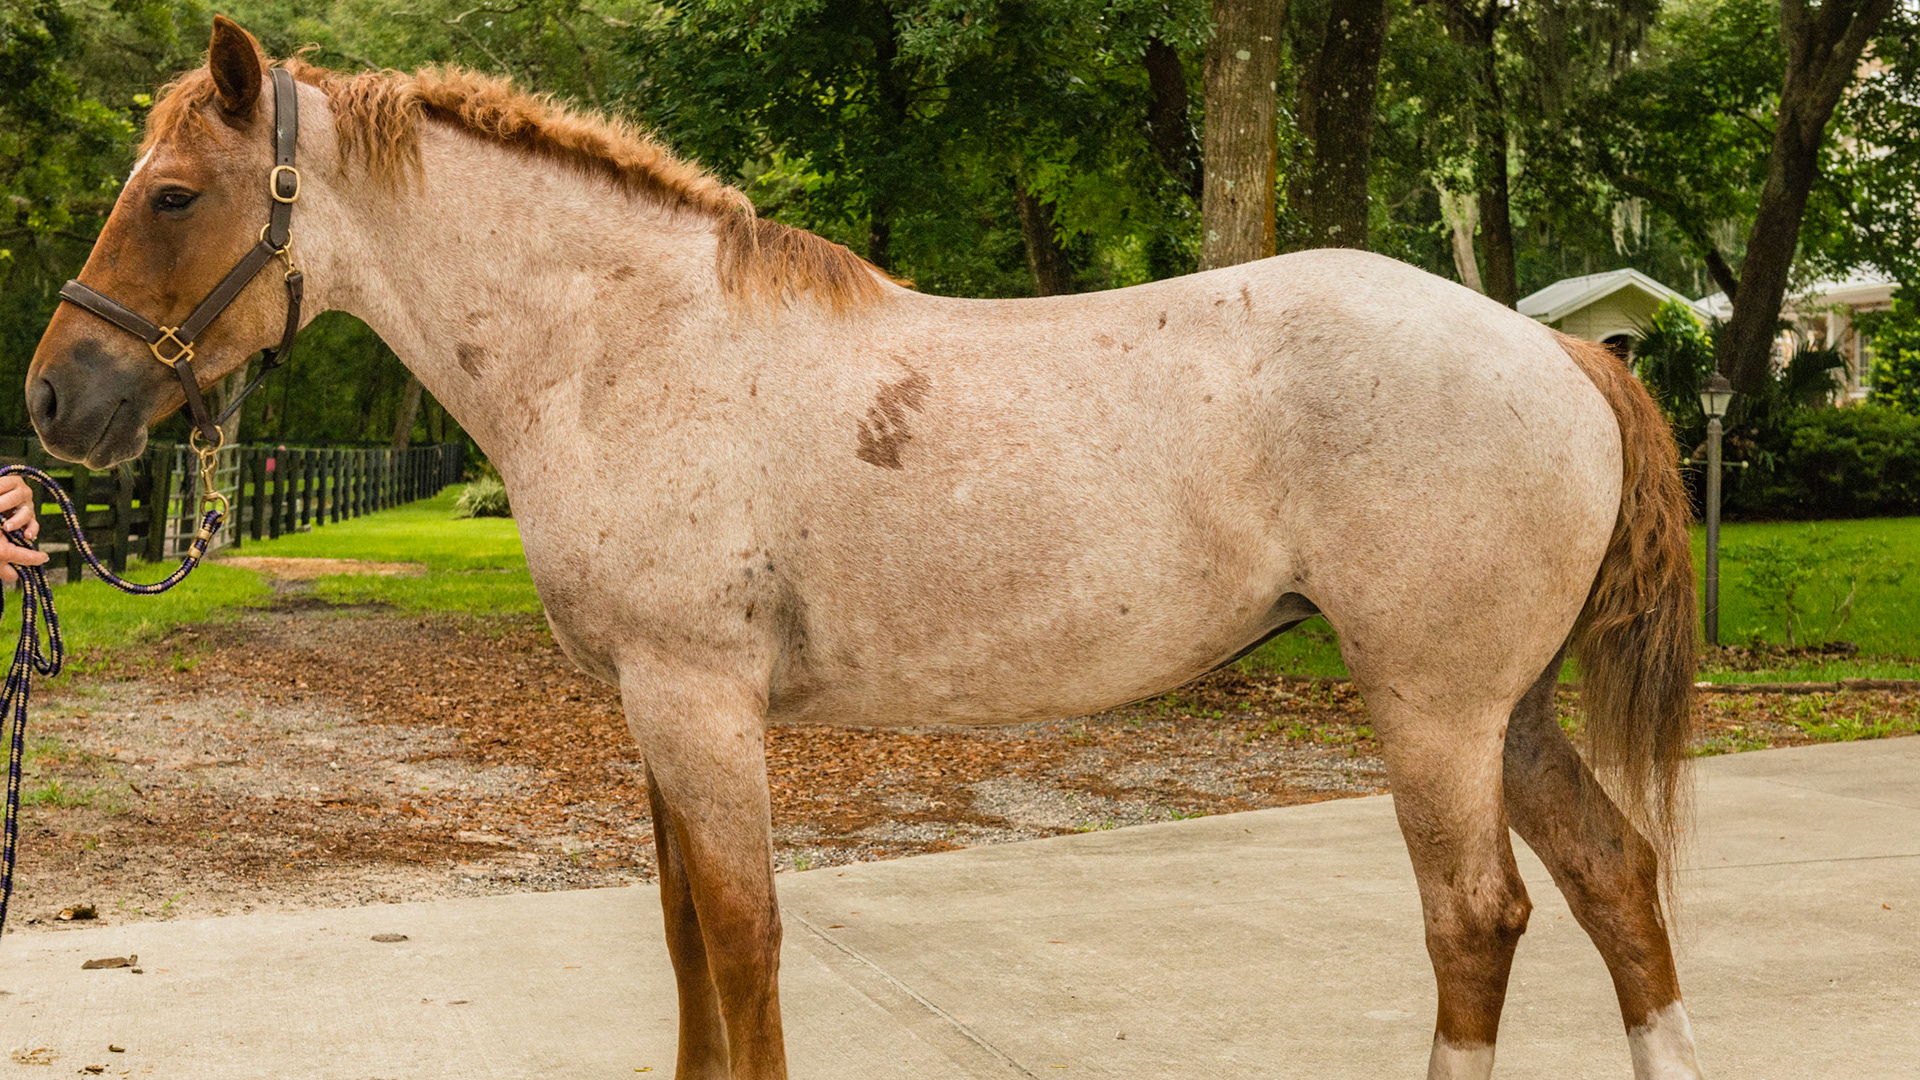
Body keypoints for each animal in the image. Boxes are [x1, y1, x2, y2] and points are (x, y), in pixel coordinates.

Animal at [28, 19, 1704, 1080]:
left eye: (172, 196)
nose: (55, 397)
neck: (634, 348)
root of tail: (1565, 355)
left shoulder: (700, 704)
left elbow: (743, 939)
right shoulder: (655, 712)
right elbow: (688, 939)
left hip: (1435, 713)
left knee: (1477, 923)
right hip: (1505, 713)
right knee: (1619, 883)